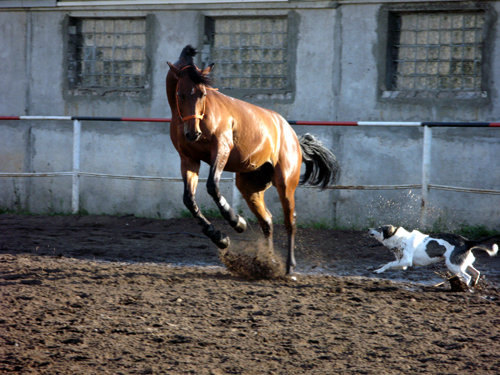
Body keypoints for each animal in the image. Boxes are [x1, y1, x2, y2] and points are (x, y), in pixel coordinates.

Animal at [166, 46, 338, 274]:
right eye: (180, 94)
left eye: (202, 93)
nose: (193, 133)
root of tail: (293, 137)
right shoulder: (189, 160)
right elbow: (189, 199)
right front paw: (220, 238)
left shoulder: (221, 149)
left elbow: (212, 186)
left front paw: (237, 222)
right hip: (250, 188)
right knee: (267, 221)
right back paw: (268, 261)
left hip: (285, 184)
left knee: (290, 221)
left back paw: (289, 267)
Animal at [366, 225, 498, 286]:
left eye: (379, 228)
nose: (368, 229)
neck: (398, 238)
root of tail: (467, 241)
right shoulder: (401, 263)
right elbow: (387, 263)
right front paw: (376, 268)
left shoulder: (406, 261)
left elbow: (388, 264)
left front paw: (379, 271)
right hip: (462, 264)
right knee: (476, 273)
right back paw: (473, 285)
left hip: (453, 265)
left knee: (467, 276)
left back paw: (463, 288)